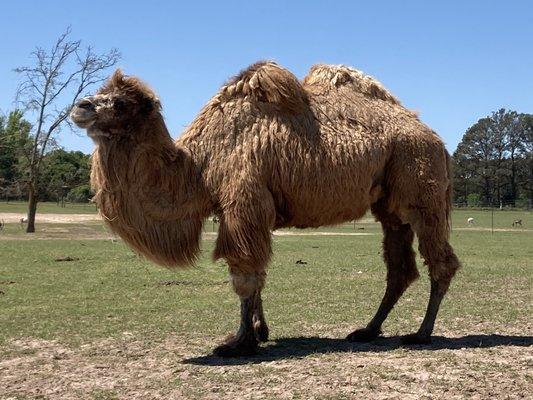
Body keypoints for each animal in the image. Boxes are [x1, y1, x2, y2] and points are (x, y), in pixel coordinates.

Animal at [69, 62, 462, 356]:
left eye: (120, 103)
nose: (80, 106)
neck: (199, 165)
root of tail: (439, 142)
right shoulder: (249, 211)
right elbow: (258, 274)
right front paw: (260, 331)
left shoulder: (244, 200)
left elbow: (244, 276)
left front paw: (238, 342)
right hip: (391, 208)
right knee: (400, 269)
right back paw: (367, 330)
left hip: (422, 187)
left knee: (441, 261)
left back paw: (421, 334)